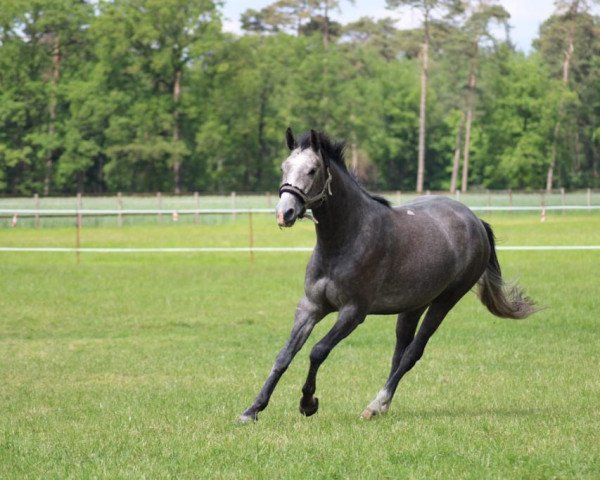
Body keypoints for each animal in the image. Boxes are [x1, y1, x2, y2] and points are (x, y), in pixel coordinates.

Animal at [237, 128, 536, 424]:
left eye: (312, 170)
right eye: (284, 167)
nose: (284, 213)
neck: (345, 240)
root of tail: (475, 221)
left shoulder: (353, 312)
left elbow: (318, 351)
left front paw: (308, 403)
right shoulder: (311, 306)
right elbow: (285, 355)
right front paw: (252, 410)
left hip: (445, 301)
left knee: (412, 353)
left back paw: (376, 404)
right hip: (414, 305)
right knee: (399, 353)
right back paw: (381, 405)